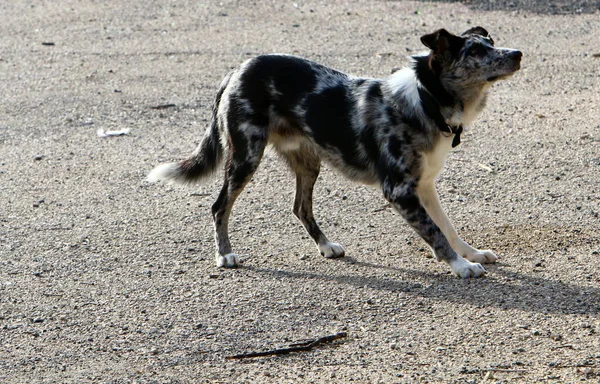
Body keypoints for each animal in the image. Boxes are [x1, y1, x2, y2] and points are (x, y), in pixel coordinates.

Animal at [148, 27, 524, 280]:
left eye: (490, 44)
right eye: (474, 52)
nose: (519, 53)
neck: (426, 99)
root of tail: (236, 71)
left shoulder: (425, 185)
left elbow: (448, 227)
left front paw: (470, 253)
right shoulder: (400, 191)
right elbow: (435, 232)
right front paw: (461, 266)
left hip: (308, 162)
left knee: (300, 207)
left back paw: (326, 246)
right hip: (246, 157)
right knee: (219, 206)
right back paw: (225, 254)